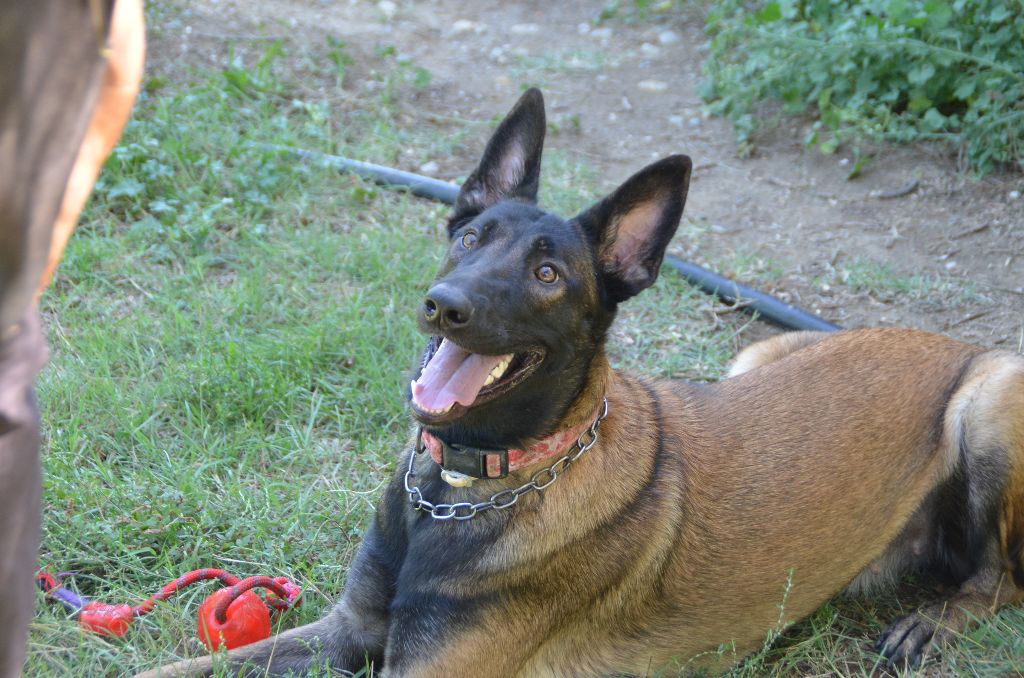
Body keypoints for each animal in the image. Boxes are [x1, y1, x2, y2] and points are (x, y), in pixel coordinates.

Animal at [142, 90, 1024, 678]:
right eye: (469, 235)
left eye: (547, 274)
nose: (445, 304)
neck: (468, 488)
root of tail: (949, 342)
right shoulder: (343, 630)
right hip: (753, 361)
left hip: (986, 409)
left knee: (1001, 580)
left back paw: (928, 625)